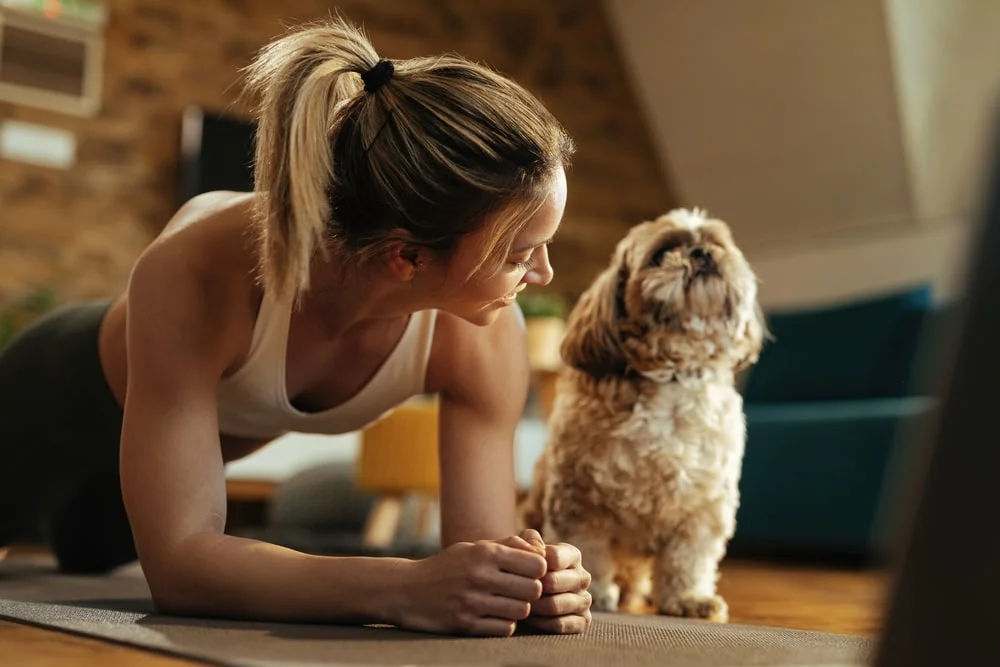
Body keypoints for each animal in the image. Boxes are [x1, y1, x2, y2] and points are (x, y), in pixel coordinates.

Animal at [520, 207, 760, 620]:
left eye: (716, 243)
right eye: (661, 254)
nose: (701, 253)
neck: (674, 375)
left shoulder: (702, 507)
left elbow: (688, 558)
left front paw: (688, 598)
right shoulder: (579, 501)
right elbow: (588, 550)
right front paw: (592, 592)